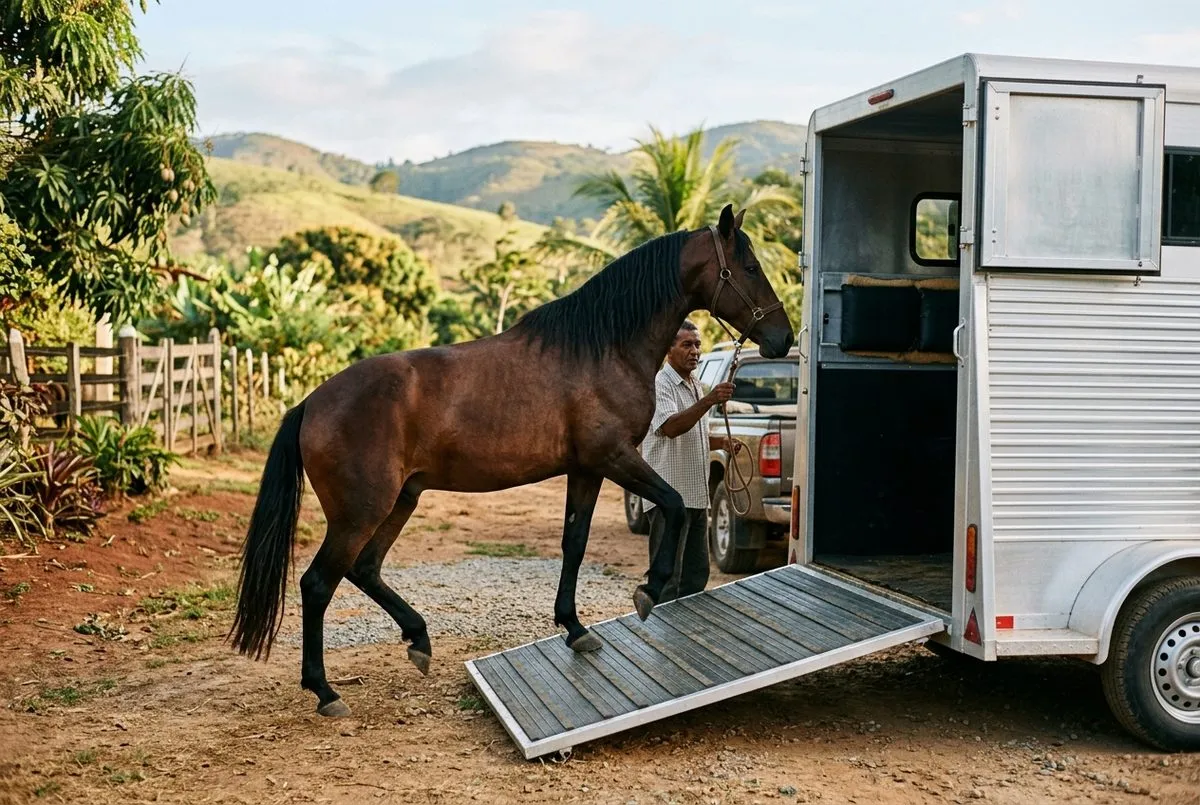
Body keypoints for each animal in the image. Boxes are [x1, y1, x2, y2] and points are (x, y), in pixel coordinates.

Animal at [230, 204, 795, 717]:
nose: (783, 337)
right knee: (318, 584)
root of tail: (310, 403)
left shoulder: (586, 469)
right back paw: (325, 691)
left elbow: (574, 543)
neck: (601, 348)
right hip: (361, 511)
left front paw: (575, 628)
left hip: (400, 501)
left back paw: (418, 640)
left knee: (365, 569)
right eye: (748, 266)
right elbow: (675, 504)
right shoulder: (614, 457)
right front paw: (649, 590)